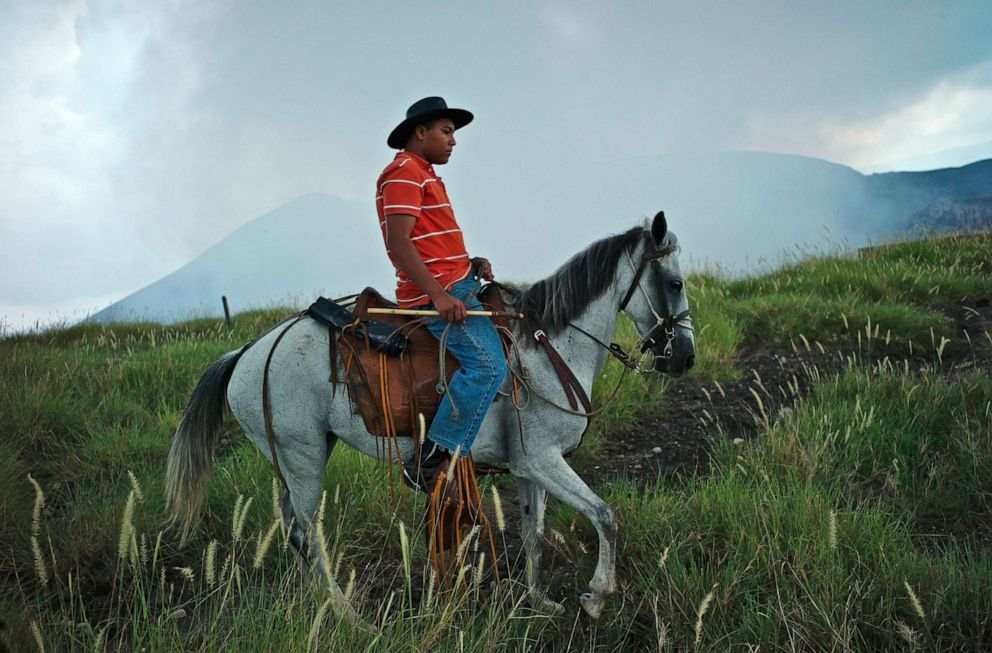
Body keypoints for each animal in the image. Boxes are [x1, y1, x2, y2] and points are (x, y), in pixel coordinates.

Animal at [167, 211, 692, 620]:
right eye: (675, 283)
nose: (684, 358)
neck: (549, 349)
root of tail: (248, 351)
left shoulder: (530, 466)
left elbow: (534, 532)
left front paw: (538, 600)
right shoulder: (543, 460)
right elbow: (606, 517)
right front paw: (596, 598)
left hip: (298, 457)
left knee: (292, 526)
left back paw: (315, 604)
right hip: (303, 458)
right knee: (306, 532)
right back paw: (349, 616)